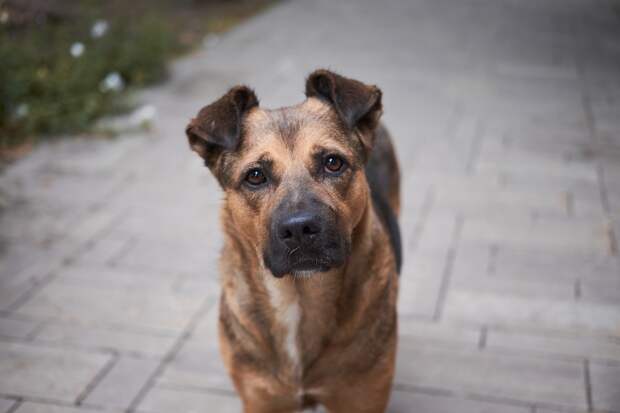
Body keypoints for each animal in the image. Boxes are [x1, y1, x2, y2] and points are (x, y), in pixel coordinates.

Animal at [184, 69, 402, 410]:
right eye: (255, 176)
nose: (300, 229)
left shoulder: (362, 399)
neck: (299, 297)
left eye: (333, 162)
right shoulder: (261, 399)